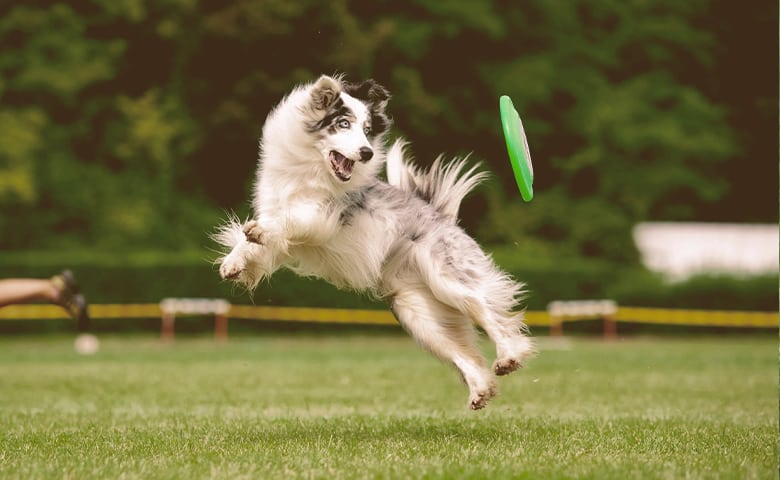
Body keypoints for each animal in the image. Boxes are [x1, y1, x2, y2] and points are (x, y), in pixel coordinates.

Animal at [213, 75, 532, 408]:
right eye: (343, 123)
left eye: (367, 130)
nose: (366, 152)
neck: (310, 169)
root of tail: (440, 215)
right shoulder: (277, 213)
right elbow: (254, 243)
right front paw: (233, 262)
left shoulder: (324, 214)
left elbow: (290, 219)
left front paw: (259, 232)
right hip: (417, 312)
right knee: (461, 351)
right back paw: (480, 389)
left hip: (448, 278)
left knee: (488, 310)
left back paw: (509, 355)